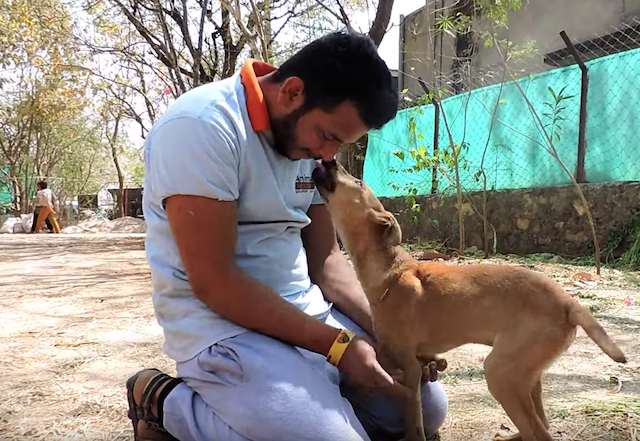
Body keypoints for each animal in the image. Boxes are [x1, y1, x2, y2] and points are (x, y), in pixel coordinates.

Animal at [312, 161, 628, 440]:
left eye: (358, 182)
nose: (329, 160)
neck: (392, 270)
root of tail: (568, 302)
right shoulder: (412, 360)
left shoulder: (409, 368)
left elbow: (413, 421)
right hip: (527, 375)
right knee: (542, 425)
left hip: (500, 372)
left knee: (539, 432)